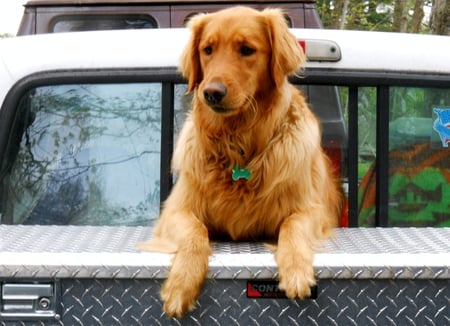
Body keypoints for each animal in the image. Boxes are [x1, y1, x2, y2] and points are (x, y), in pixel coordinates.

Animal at [141, 5, 344, 318]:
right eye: (207, 49)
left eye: (247, 50)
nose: (211, 93)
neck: (238, 143)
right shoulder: (175, 211)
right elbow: (195, 232)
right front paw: (180, 284)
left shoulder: (312, 210)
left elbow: (293, 226)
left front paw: (297, 271)